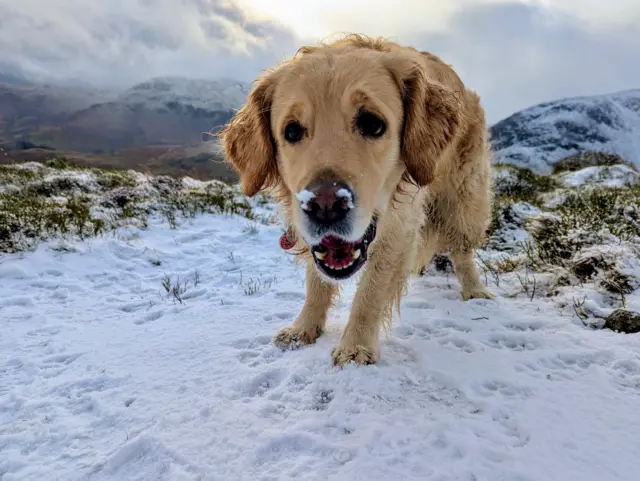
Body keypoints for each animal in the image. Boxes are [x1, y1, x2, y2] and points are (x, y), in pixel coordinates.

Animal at [220, 35, 496, 366]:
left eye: (373, 124)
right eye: (292, 131)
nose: (325, 206)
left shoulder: (399, 227)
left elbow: (371, 291)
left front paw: (355, 348)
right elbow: (317, 283)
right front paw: (303, 329)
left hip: (463, 197)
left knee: (462, 249)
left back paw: (475, 292)